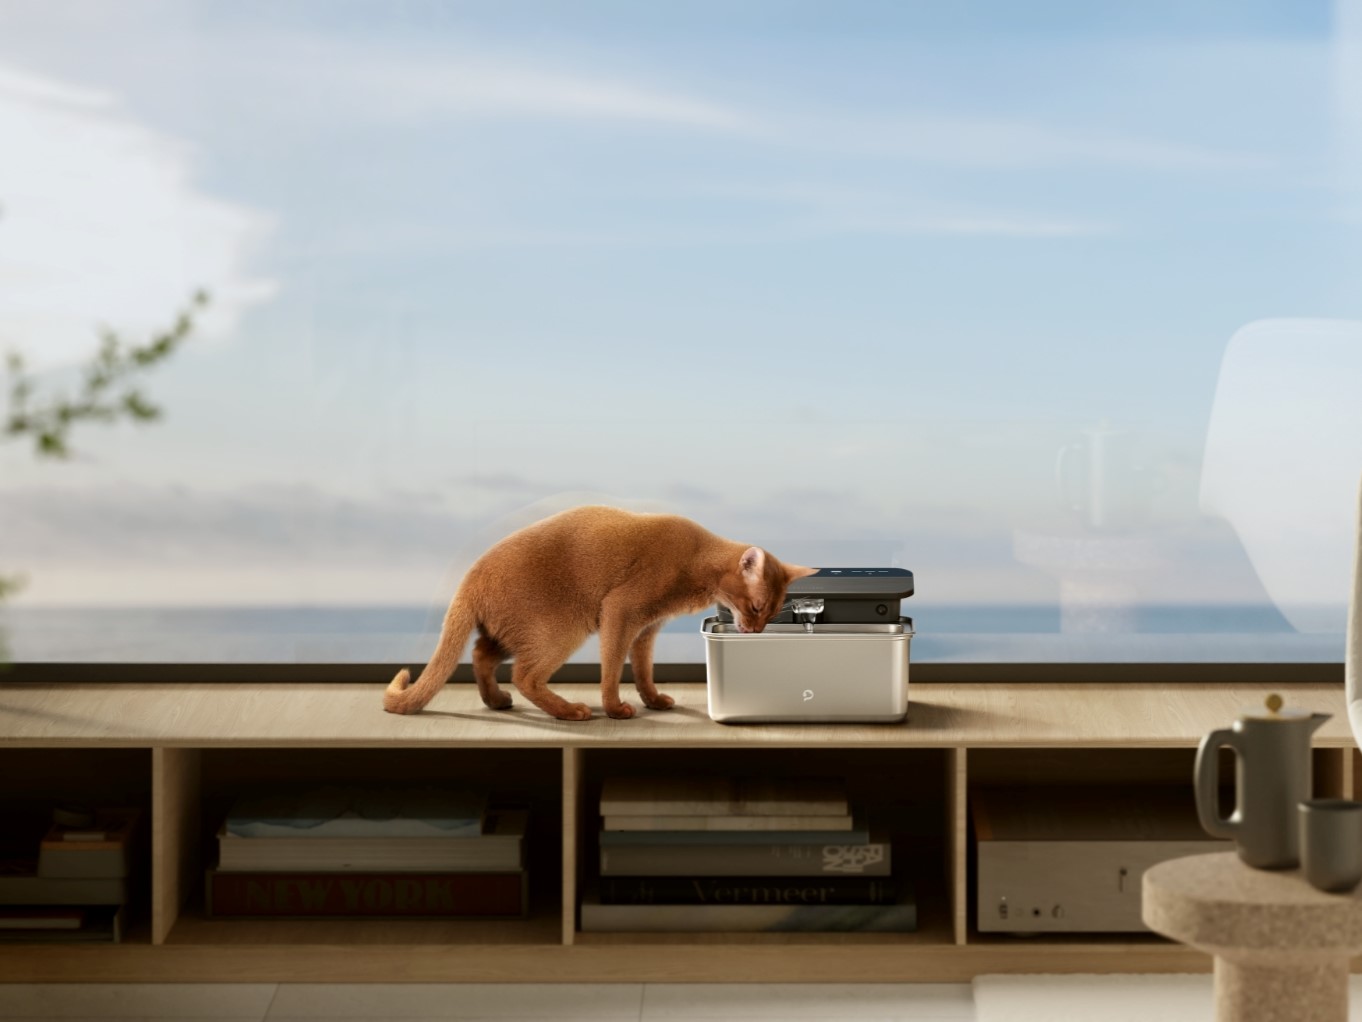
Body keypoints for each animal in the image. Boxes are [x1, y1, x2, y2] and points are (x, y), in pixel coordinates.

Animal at [384, 504, 806, 719]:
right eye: (755, 607)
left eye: (771, 614)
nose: (755, 630)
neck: (698, 560)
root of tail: (470, 576)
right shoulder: (620, 612)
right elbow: (613, 667)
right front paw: (615, 708)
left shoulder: (647, 628)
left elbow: (643, 669)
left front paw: (653, 700)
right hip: (562, 627)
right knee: (524, 674)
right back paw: (569, 710)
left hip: (514, 629)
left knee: (480, 654)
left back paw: (496, 700)